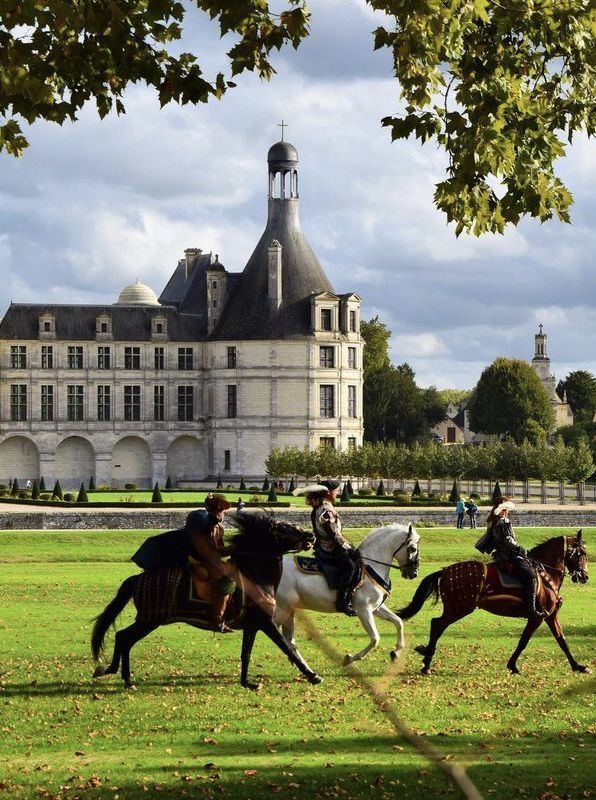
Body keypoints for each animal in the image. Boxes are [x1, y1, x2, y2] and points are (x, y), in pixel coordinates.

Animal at [274, 524, 420, 668]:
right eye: (413, 548)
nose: (414, 573)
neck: (371, 569)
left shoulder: (376, 608)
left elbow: (398, 622)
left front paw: (396, 651)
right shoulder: (363, 611)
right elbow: (375, 639)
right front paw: (350, 658)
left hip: (289, 610)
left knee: (289, 641)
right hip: (283, 608)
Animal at [398, 532, 588, 676]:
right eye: (583, 553)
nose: (585, 576)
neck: (546, 573)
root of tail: (445, 571)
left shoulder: (550, 616)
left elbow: (562, 641)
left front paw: (577, 666)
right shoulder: (537, 617)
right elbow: (524, 641)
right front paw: (512, 665)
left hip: (456, 608)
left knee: (436, 625)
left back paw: (426, 658)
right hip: (459, 608)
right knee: (437, 624)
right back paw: (426, 662)